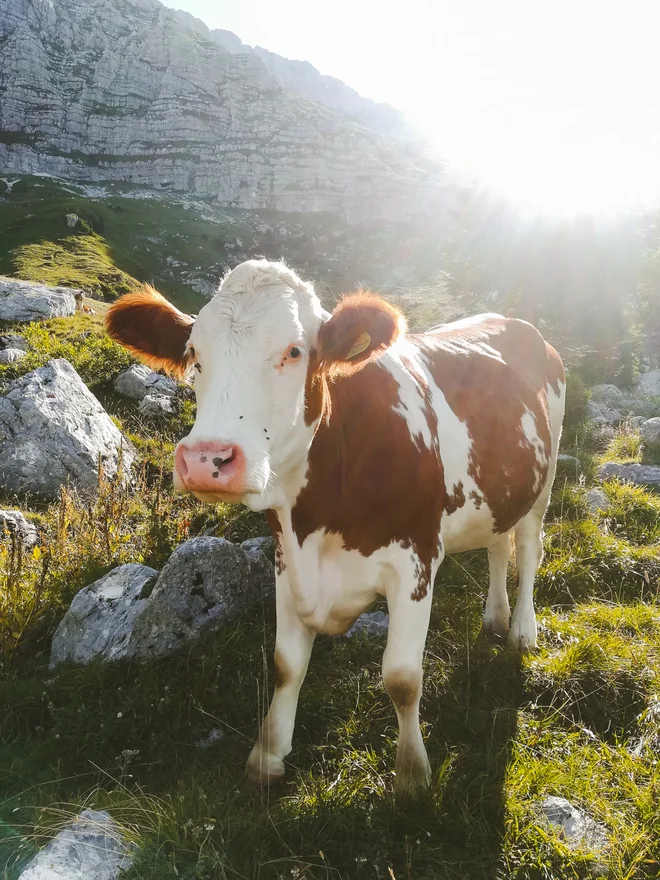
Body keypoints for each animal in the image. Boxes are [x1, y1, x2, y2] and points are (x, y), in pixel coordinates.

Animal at [105, 256, 564, 796]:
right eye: (194, 352)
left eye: (294, 350)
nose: (205, 460)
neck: (318, 518)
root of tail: (517, 324)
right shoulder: (286, 557)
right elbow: (286, 665)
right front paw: (268, 754)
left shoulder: (415, 562)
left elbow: (402, 677)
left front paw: (412, 775)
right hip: (500, 493)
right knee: (497, 545)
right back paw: (495, 616)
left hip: (544, 482)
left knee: (528, 551)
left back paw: (521, 631)